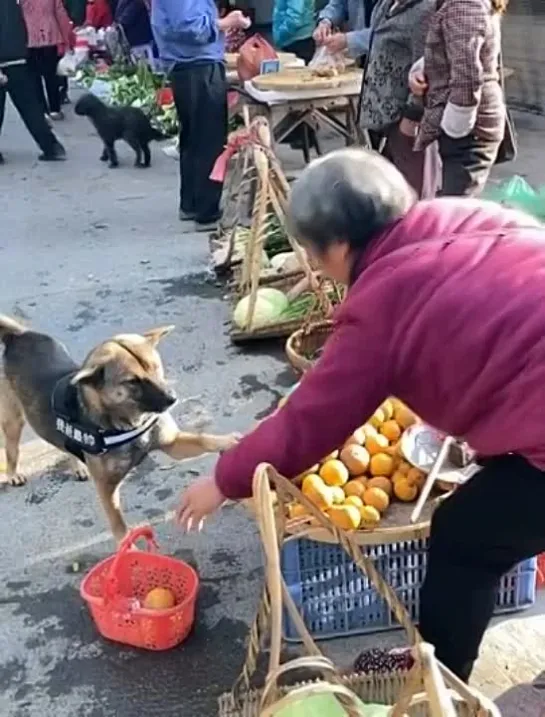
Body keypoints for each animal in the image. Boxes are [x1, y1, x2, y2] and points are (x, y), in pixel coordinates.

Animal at [0, 316, 238, 540]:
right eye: (132, 381)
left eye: (155, 367)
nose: (172, 398)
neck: (129, 423)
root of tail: (19, 335)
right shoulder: (106, 489)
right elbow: (120, 527)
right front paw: (128, 547)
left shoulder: (172, 443)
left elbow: (203, 438)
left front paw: (228, 441)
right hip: (13, 422)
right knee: (12, 450)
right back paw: (13, 474)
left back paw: (77, 465)